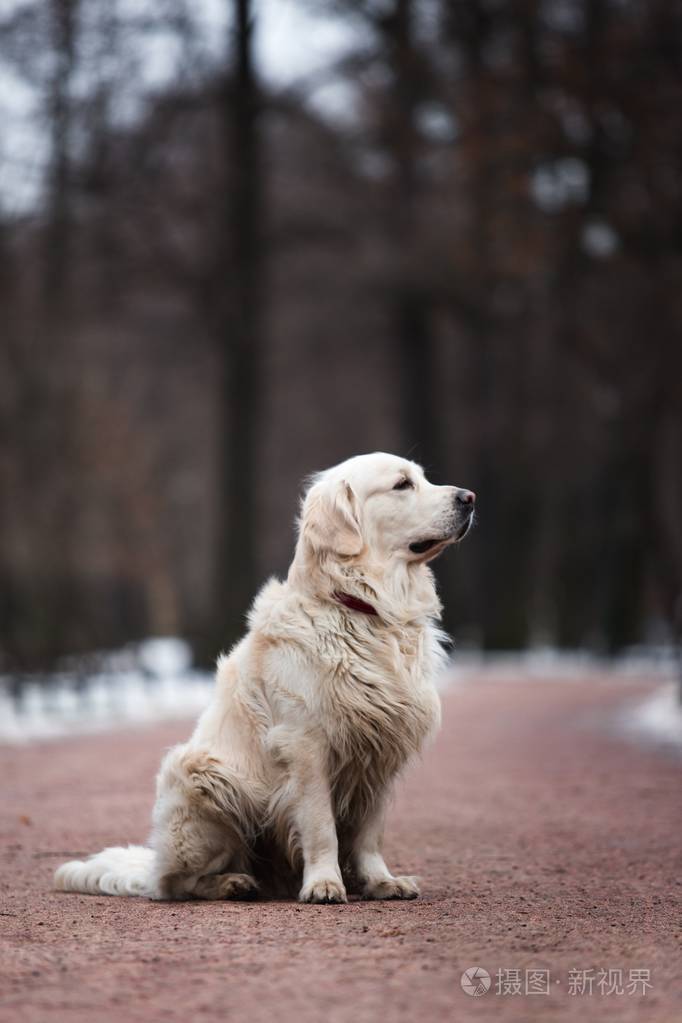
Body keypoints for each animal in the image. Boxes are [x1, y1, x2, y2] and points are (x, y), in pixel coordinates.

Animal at [55, 452, 474, 900]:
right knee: (178, 883)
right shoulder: (306, 745)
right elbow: (321, 826)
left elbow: (369, 833)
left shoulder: (382, 748)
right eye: (401, 484)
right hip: (202, 774)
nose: (469, 497)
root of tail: (150, 867)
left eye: (424, 478)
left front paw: (381, 881)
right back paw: (233, 883)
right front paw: (324, 883)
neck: (365, 609)